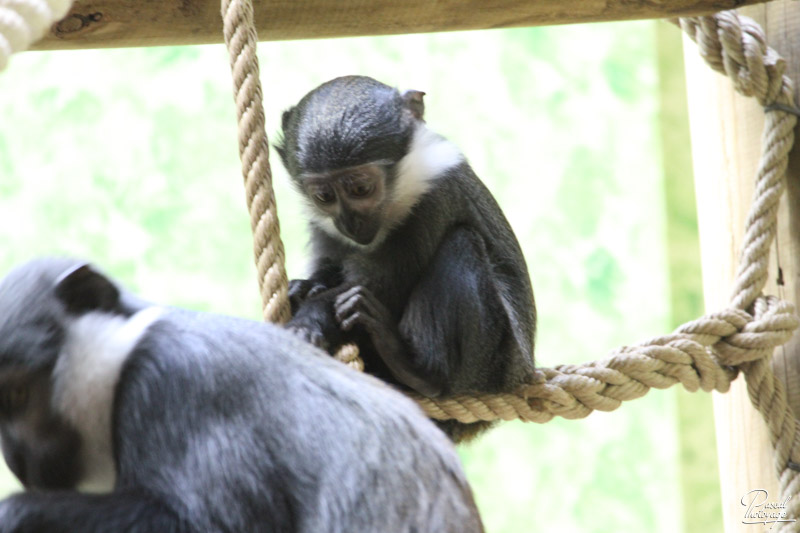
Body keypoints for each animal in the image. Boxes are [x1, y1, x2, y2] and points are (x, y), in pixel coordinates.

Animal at [276, 75, 536, 440]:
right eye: (325, 195)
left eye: (360, 189)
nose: (350, 223)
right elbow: (331, 271)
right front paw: (303, 289)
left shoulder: (431, 202)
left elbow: (382, 287)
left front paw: (308, 322)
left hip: (490, 364)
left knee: (461, 243)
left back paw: (420, 372)